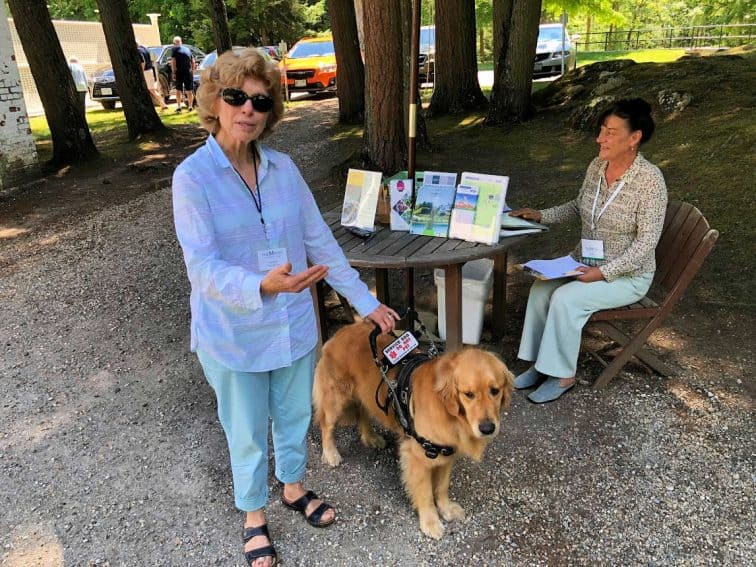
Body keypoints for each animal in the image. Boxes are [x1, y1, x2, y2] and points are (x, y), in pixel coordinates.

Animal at [314, 322, 512, 540]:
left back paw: (371, 437)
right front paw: (430, 522)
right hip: (336, 398)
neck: (446, 409)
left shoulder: (446, 451)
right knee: (326, 425)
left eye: (495, 391)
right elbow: (425, 493)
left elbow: (442, 487)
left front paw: (446, 509)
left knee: (362, 413)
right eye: (468, 394)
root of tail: (342, 330)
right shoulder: (417, 456)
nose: (487, 428)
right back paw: (331, 453)